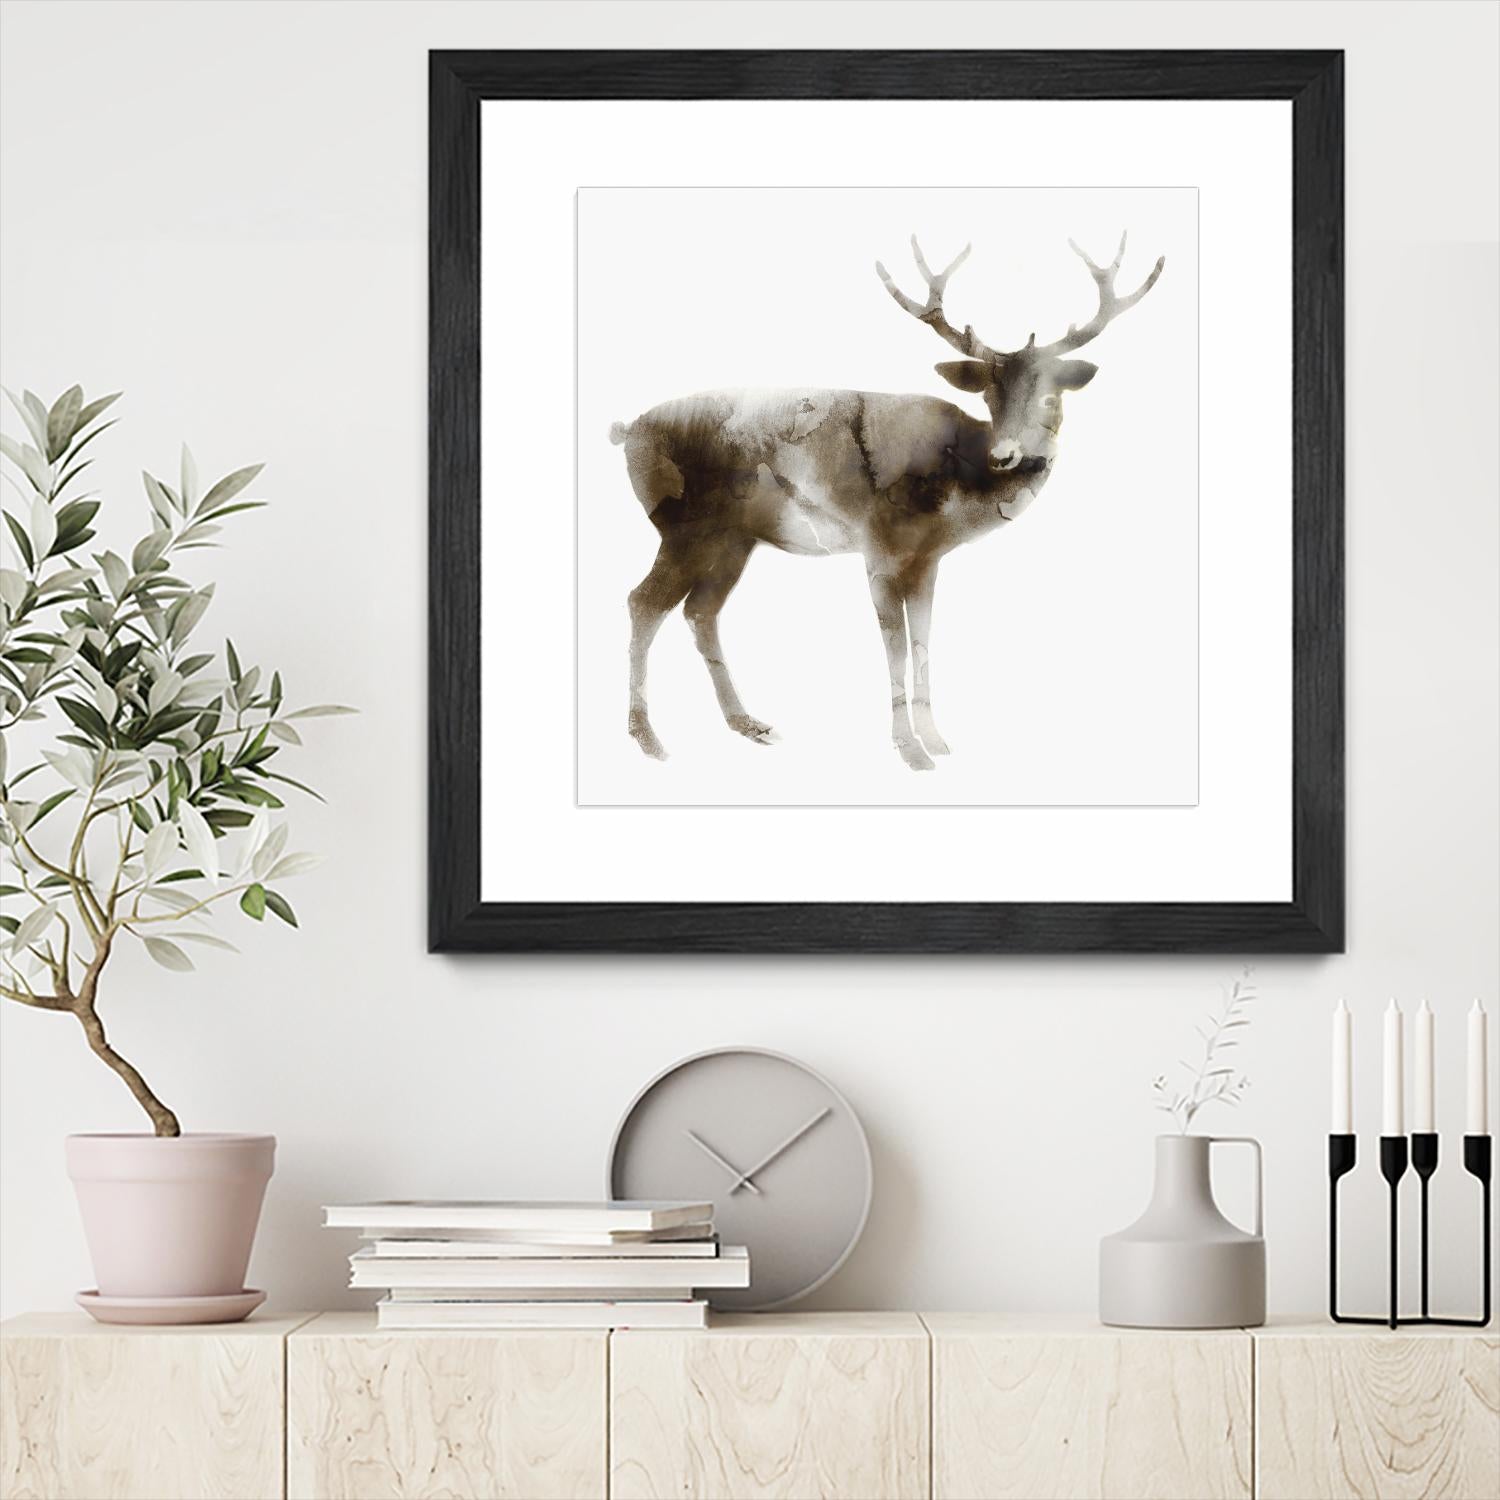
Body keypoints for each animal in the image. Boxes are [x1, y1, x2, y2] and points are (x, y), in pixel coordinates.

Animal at [610, 233, 1165, 770]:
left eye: (1052, 396)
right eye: (988, 395)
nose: (1006, 455)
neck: (956, 493)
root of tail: (627, 431)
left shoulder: (928, 560)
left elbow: (922, 641)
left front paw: (936, 739)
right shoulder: (878, 549)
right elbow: (894, 647)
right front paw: (910, 750)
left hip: (733, 540)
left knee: (700, 611)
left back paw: (747, 723)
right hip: (683, 528)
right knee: (643, 602)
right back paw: (648, 738)